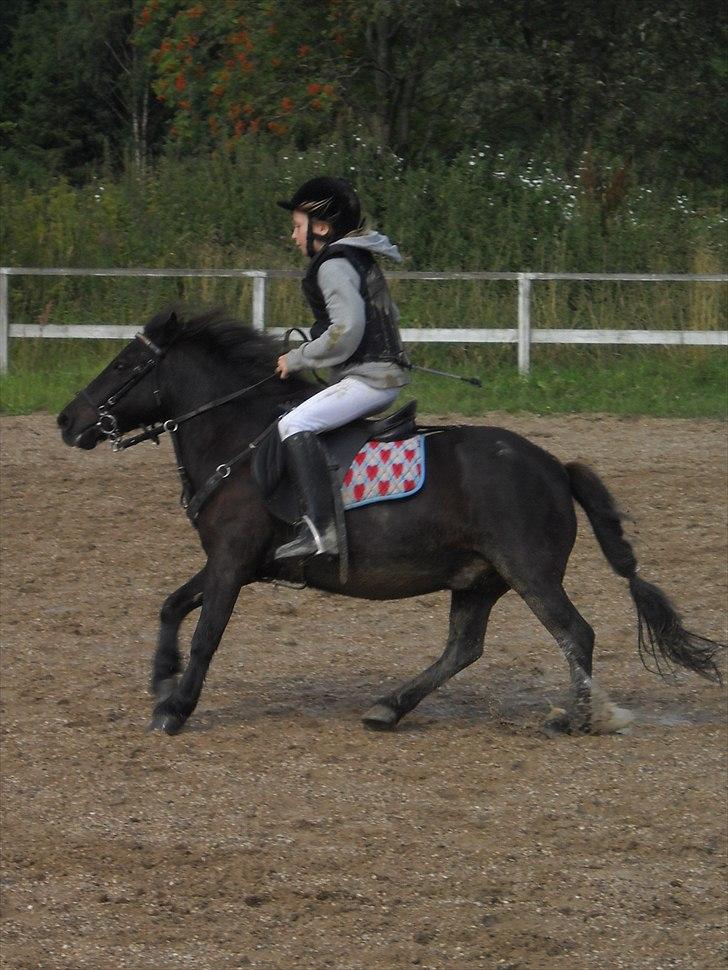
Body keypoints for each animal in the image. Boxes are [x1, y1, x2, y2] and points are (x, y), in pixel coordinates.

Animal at [55, 310, 724, 732]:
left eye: (123, 366)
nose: (66, 419)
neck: (239, 440)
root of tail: (555, 467)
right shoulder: (232, 561)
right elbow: (172, 605)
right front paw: (161, 678)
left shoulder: (232, 561)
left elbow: (206, 633)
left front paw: (177, 707)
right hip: (478, 579)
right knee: (463, 648)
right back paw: (389, 708)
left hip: (529, 573)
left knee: (574, 635)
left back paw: (579, 719)